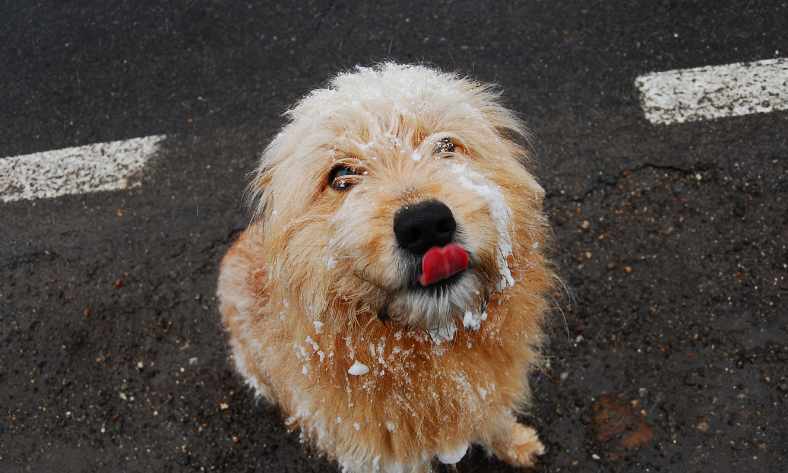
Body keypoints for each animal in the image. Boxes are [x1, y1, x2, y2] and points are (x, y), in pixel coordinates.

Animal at [217, 63, 556, 472]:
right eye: (340, 176)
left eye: (446, 146)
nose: (425, 224)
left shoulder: (485, 386)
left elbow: (495, 416)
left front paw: (516, 442)